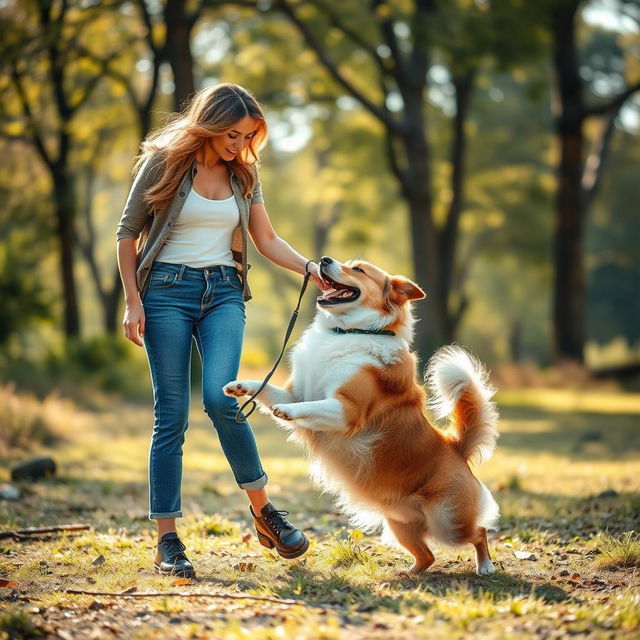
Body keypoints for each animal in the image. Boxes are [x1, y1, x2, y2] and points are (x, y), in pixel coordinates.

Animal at [225, 255, 500, 576]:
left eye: (358, 269)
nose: (323, 260)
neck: (349, 331)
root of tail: (457, 449)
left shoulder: (347, 411)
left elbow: (309, 407)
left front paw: (289, 412)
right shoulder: (299, 393)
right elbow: (268, 389)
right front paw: (241, 386)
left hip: (448, 522)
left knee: (479, 532)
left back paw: (485, 566)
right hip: (399, 525)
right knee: (427, 556)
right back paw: (407, 573)